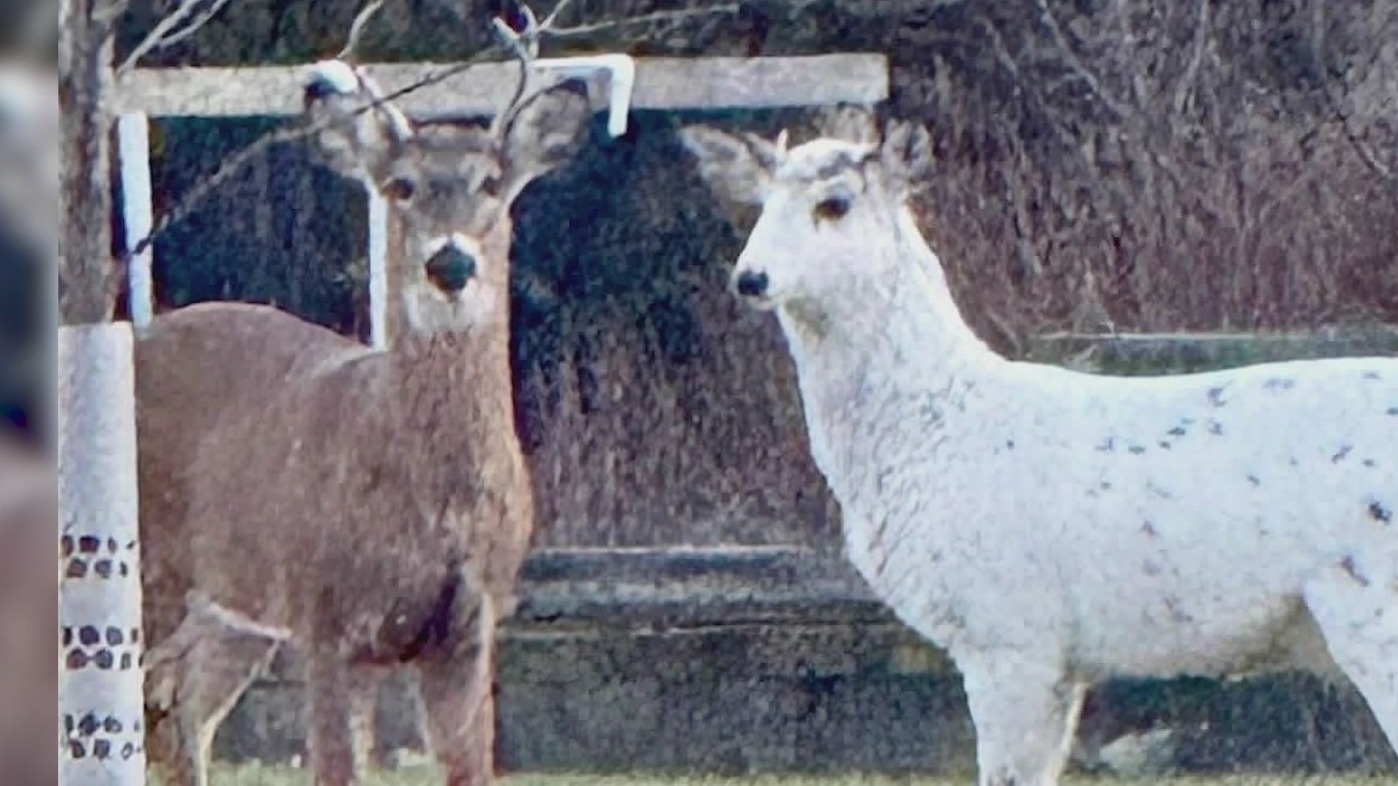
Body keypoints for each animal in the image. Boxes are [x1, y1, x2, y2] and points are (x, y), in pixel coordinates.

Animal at [133, 54, 595, 786]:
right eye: (400, 186)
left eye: (492, 182)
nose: (450, 262)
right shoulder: (327, 616)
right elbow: (335, 767)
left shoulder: (471, 625)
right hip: (144, 565)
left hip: (232, 612)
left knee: (183, 718)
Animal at [679, 106, 1397, 786]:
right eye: (761, 202)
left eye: (835, 203)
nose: (750, 277)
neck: (930, 432)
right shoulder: (1054, 656)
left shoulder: (1010, 633)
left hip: (1373, 611)